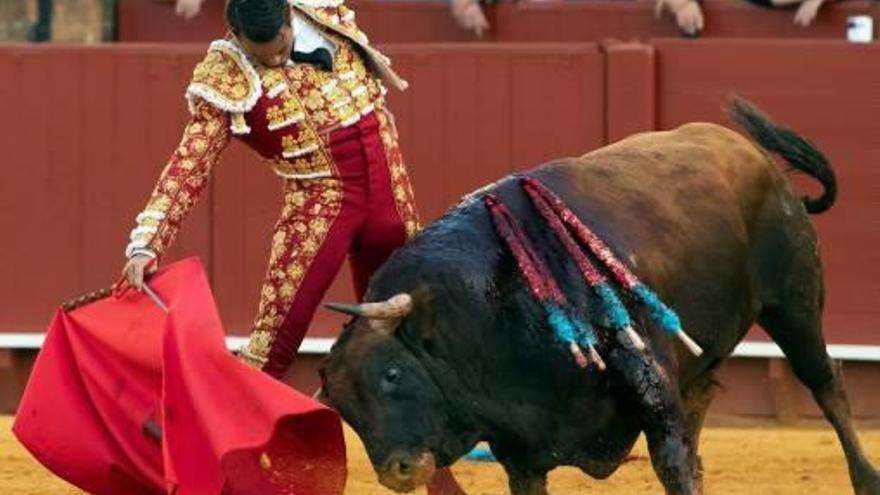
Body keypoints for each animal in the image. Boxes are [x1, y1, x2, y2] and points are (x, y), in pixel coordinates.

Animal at [316, 101, 880, 495]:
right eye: (341, 406)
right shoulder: (520, 447)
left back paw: (866, 478)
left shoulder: (651, 386)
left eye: (392, 374)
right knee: (705, 392)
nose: (397, 470)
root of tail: (751, 153)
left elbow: (672, 461)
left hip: (793, 303)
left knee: (825, 383)